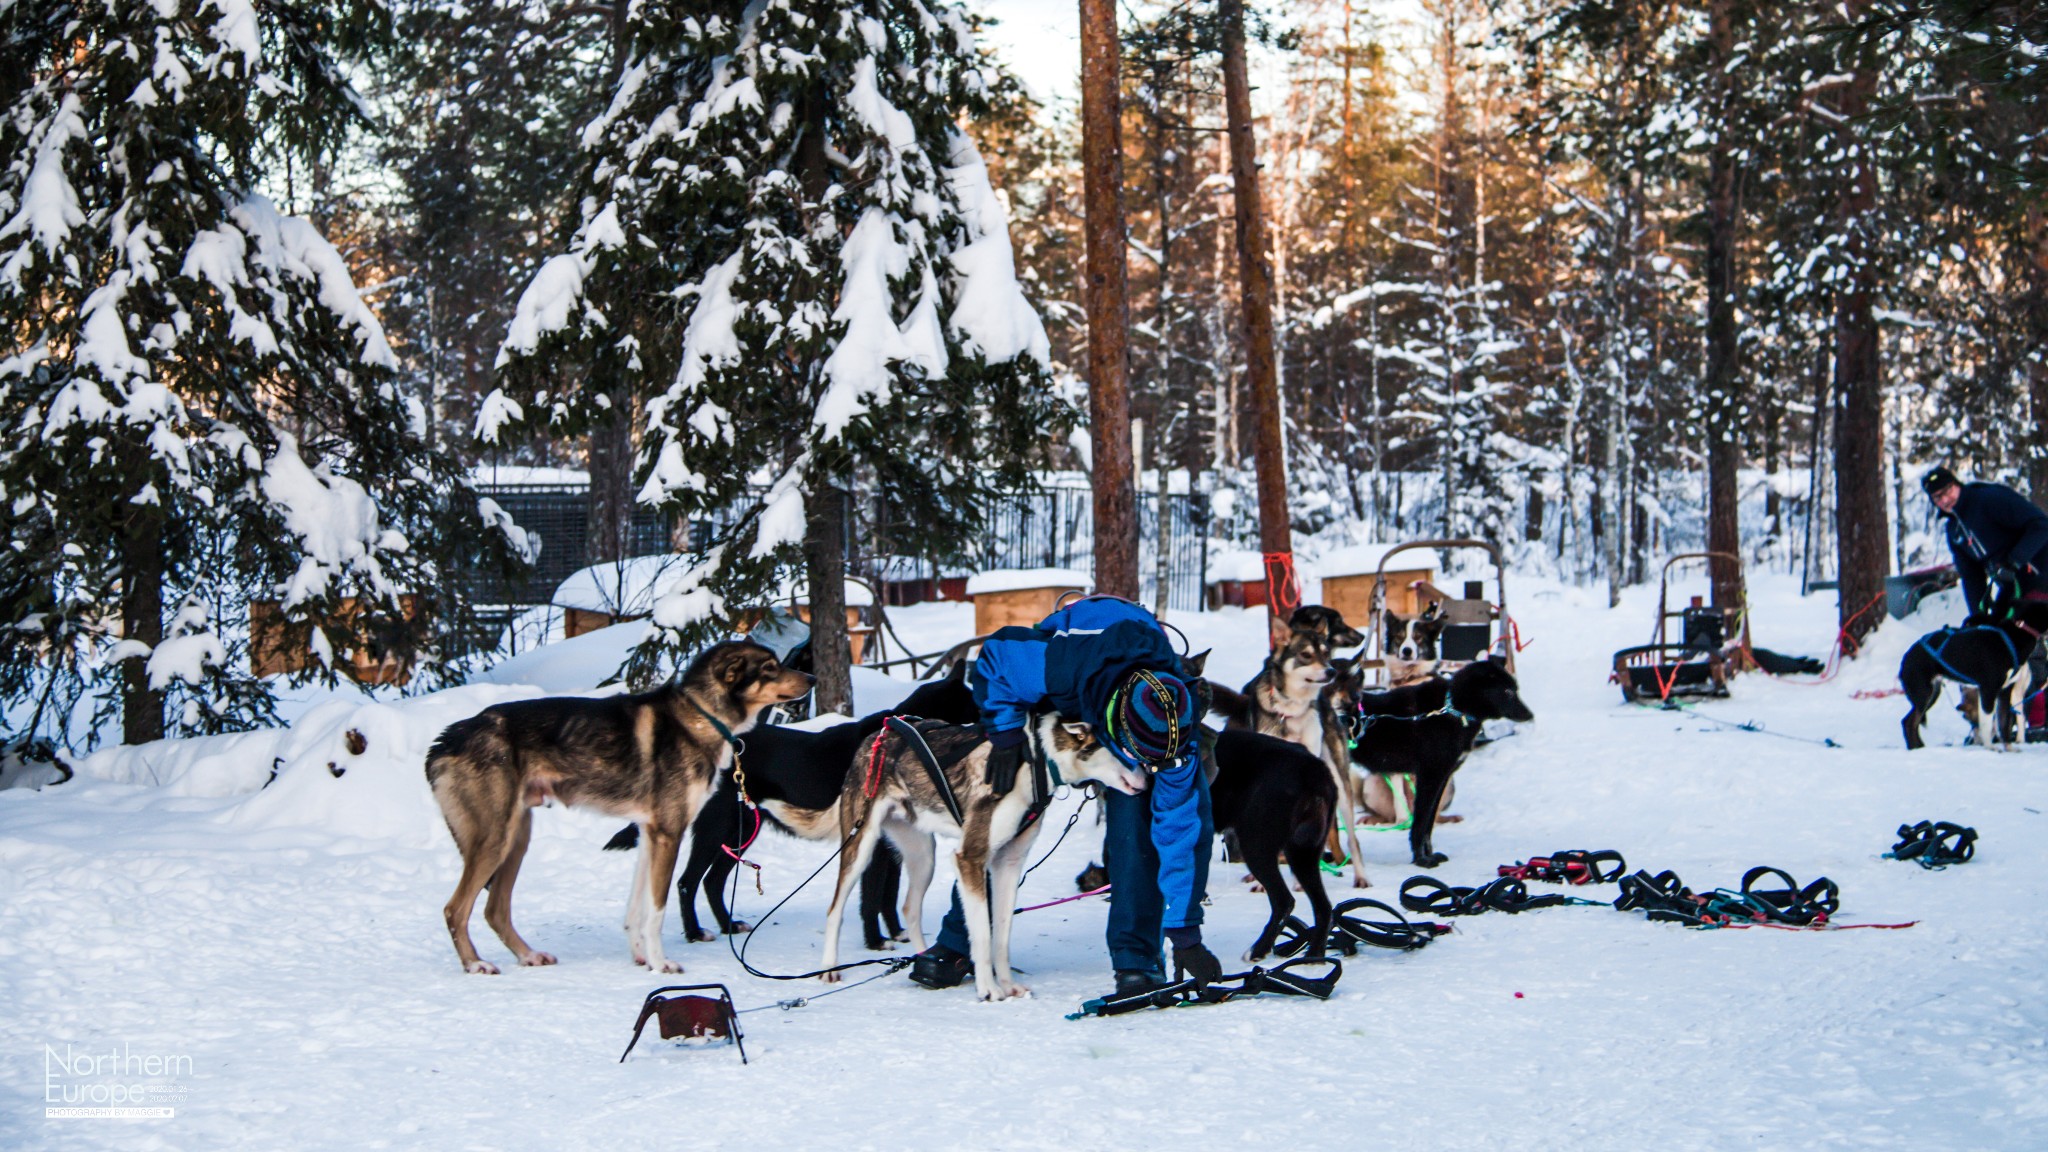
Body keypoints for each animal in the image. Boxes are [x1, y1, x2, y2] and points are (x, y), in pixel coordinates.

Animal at [423, 635, 806, 967]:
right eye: (770, 667)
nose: (812, 677)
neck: (700, 717)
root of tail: (446, 739)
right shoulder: (668, 834)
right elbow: (656, 910)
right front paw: (661, 964)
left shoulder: (649, 834)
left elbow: (636, 911)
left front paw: (641, 958)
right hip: (494, 840)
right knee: (455, 909)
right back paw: (475, 964)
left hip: (516, 841)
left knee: (494, 910)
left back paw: (528, 956)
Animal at [819, 709, 1155, 996]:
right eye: (1125, 751)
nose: (1150, 776)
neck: (1034, 761)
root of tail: (876, 736)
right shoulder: (971, 858)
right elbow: (981, 934)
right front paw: (989, 990)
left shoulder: (1008, 863)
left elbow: (1001, 937)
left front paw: (1007, 985)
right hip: (861, 846)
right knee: (834, 908)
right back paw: (829, 968)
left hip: (923, 857)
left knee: (910, 908)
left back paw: (922, 958)